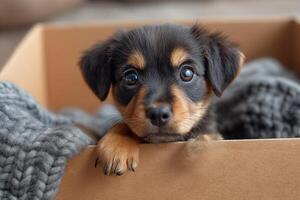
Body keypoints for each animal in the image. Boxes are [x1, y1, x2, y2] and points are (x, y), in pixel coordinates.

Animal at [79, 23, 244, 175]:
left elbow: (210, 136)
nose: (158, 114)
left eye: (187, 73)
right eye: (131, 77)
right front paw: (117, 145)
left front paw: (198, 145)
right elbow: (125, 125)